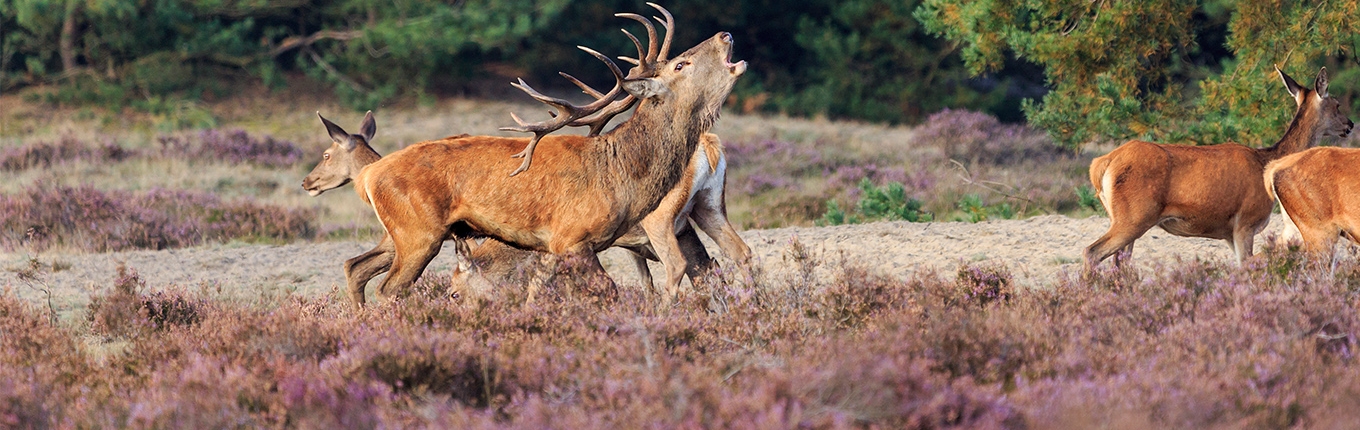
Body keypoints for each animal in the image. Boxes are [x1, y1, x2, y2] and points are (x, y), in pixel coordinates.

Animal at [304, 3, 750, 306]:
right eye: (681, 64)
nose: (726, 35)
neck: (622, 175)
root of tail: (370, 176)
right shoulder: (572, 238)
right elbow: (608, 291)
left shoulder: (552, 248)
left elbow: (540, 291)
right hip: (416, 232)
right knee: (389, 287)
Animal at [1082, 66, 1349, 269]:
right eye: (1337, 104)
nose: (1350, 124)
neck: (1266, 161)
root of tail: (1101, 165)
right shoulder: (1246, 221)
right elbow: (1247, 265)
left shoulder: (1228, 232)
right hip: (1134, 216)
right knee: (1092, 251)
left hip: (1122, 217)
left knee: (1120, 262)